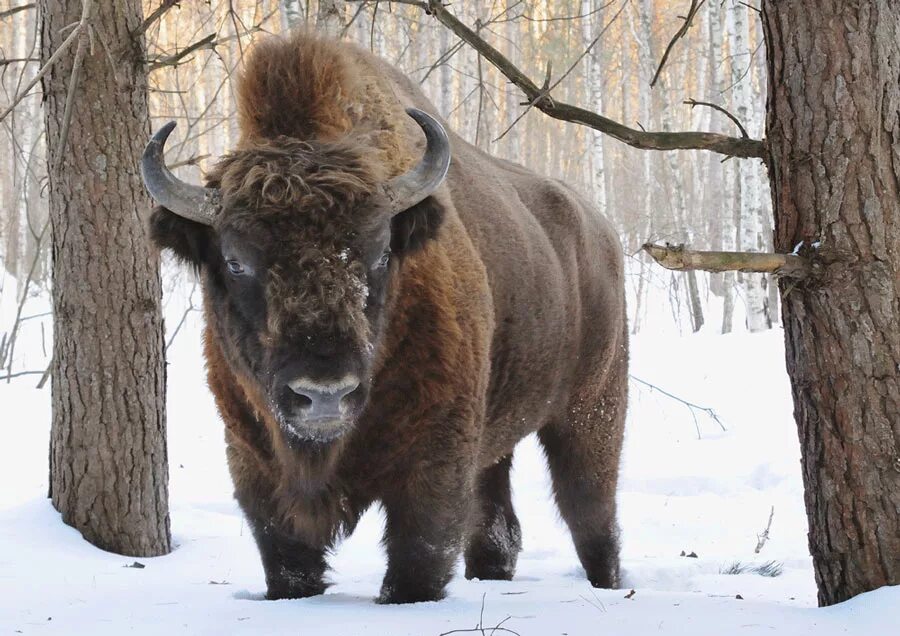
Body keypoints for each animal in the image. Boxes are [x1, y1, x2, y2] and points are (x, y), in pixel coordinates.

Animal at [144, 32, 628, 604]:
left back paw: (608, 584)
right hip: (501, 437)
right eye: (236, 260)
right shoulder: (255, 466)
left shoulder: (434, 467)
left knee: (591, 516)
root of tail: (600, 229)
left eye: (379, 253)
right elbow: (288, 562)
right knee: (498, 526)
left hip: (590, 414)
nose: (324, 394)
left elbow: (418, 560)